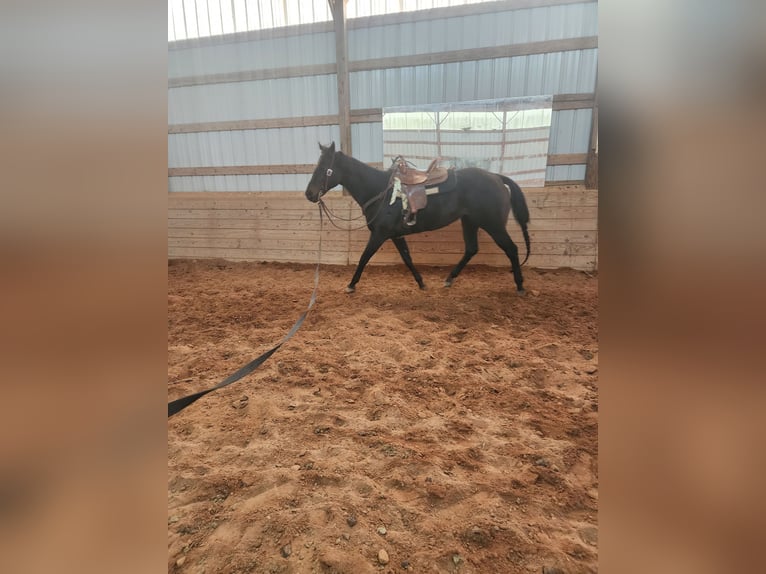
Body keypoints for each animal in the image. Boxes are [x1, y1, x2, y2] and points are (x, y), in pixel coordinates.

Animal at [306, 143, 536, 294]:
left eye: (324, 169)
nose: (309, 194)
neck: (381, 191)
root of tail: (497, 178)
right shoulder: (395, 235)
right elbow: (407, 258)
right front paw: (421, 283)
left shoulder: (380, 234)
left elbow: (364, 257)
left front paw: (351, 285)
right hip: (469, 221)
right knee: (471, 249)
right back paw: (449, 280)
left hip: (493, 225)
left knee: (512, 249)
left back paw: (520, 285)